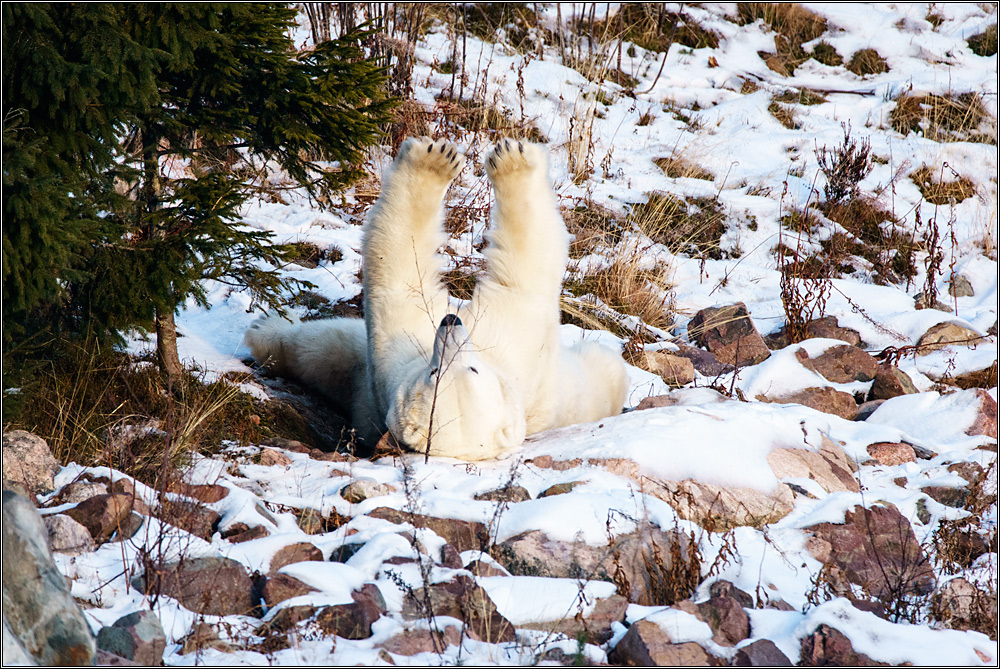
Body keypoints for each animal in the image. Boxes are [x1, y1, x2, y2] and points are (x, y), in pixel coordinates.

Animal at [248, 136, 624, 460]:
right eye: (434, 373)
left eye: (472, 369)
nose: (449, 321)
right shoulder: (391, 366)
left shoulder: (507, 342)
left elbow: (518, 272)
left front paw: (504, 159)